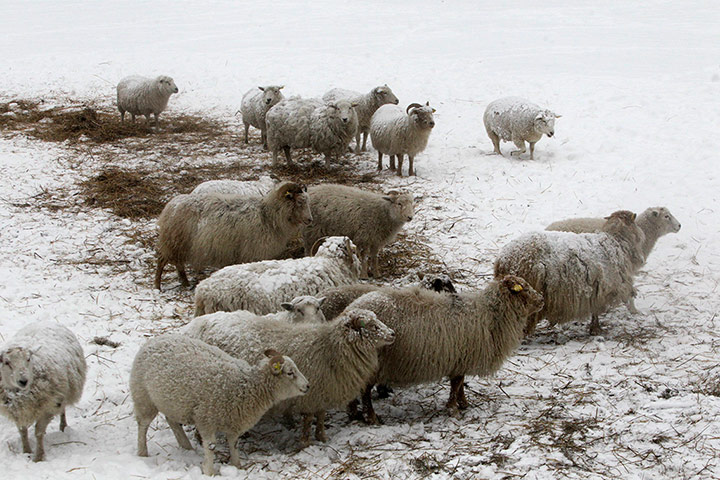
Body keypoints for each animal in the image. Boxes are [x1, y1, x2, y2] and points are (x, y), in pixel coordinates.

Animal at [0, 322, 86, 462]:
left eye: (28, 359)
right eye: (7, 362)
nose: (23, 381)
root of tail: (47, 321)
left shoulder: (48, 407)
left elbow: (38, 432)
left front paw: (38, 457)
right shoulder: (18, 411)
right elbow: (22, 431)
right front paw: (26, 451)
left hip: (61, 393)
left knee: (62, 410)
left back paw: (63, 427)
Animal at [130, 334, 308, 476]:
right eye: (290, 373)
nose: (308, 386)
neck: (247, 386)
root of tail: (153, 340)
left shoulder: (234, 422)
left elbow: (234, 444)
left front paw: (237, 465)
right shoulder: (206, 420)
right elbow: (211, 447)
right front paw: (209, 472)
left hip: (173, 402)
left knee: (172, 421)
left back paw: (186, 447)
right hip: (144, 397)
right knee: (143, 424)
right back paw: (142, 452)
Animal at [154, 181, 312, 290]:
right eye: (299, 202)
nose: (310, 220)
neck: (268, 215)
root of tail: (170, 207)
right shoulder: (253, 251)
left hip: (178, 244)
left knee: (178, 263)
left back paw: (185, 283)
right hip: (173, 241)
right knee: (162, 260)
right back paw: (157, 286)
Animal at [185, 308, 394, 446]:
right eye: (373, 326)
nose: (393, 333)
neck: (329, 348)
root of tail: (195, 325)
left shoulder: (323, 392)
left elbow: (320, 416)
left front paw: (322, 437)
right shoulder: (311, 393)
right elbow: (309, 419)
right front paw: (305, 442)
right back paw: (201, 439)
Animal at [345, 275, 544, 424]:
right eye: (524, 288)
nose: (541, 299)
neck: (490, 315)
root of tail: (351, 310)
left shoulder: (461, 359)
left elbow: (460, 383)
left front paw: (464, 403)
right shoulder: (460, 357)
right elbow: (456, 383)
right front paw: (453, 409)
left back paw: (354, 413)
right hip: (372, 364)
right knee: (365, 392)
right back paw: (371, 417)